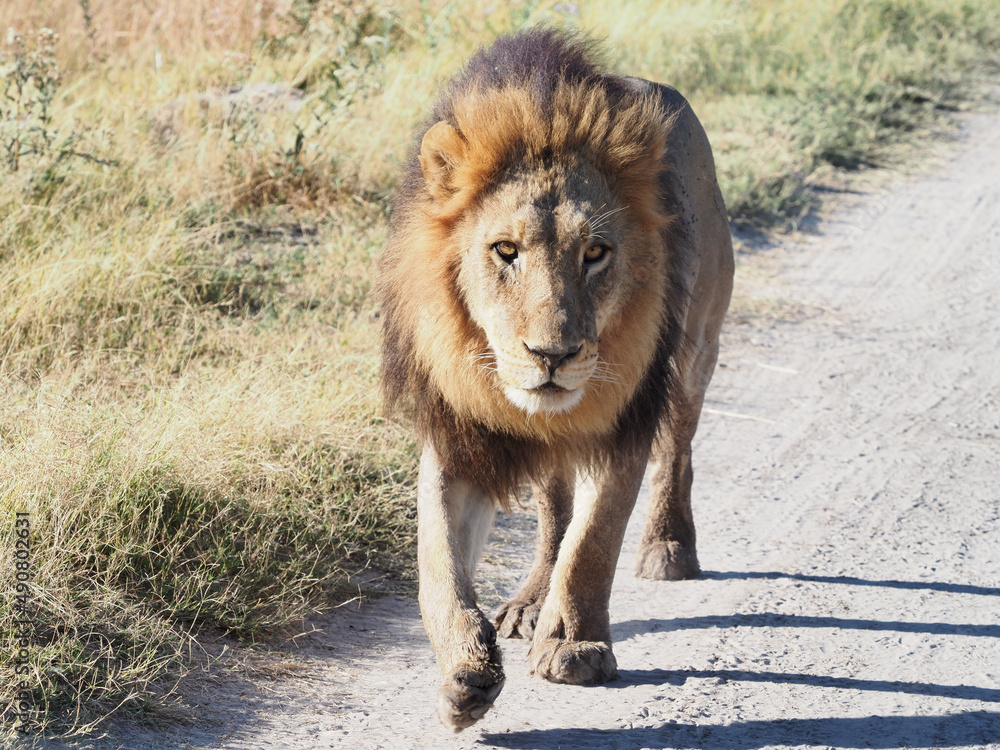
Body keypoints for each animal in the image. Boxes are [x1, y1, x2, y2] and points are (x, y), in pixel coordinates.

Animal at [376, 30, 736, 736]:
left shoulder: (622, 420)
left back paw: (668, 548)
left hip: (693, 351)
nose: (552, 355)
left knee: (676, 451)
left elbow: (593, 542)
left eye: (595, 254)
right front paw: (464, 673)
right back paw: (528, 602)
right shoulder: (459, 436)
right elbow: (439, 565)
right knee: (554, 505)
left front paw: (574, 646)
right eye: (505, 251)